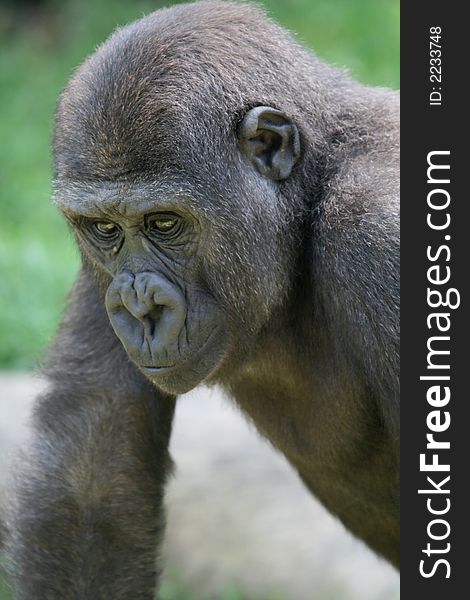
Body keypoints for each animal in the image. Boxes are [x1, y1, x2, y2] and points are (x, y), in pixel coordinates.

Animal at [5, 2, 398, 596]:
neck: (312, 191)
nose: (140, 310)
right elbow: (91, 468)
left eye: (165, 223)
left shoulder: (380, 230)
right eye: (105, 229)